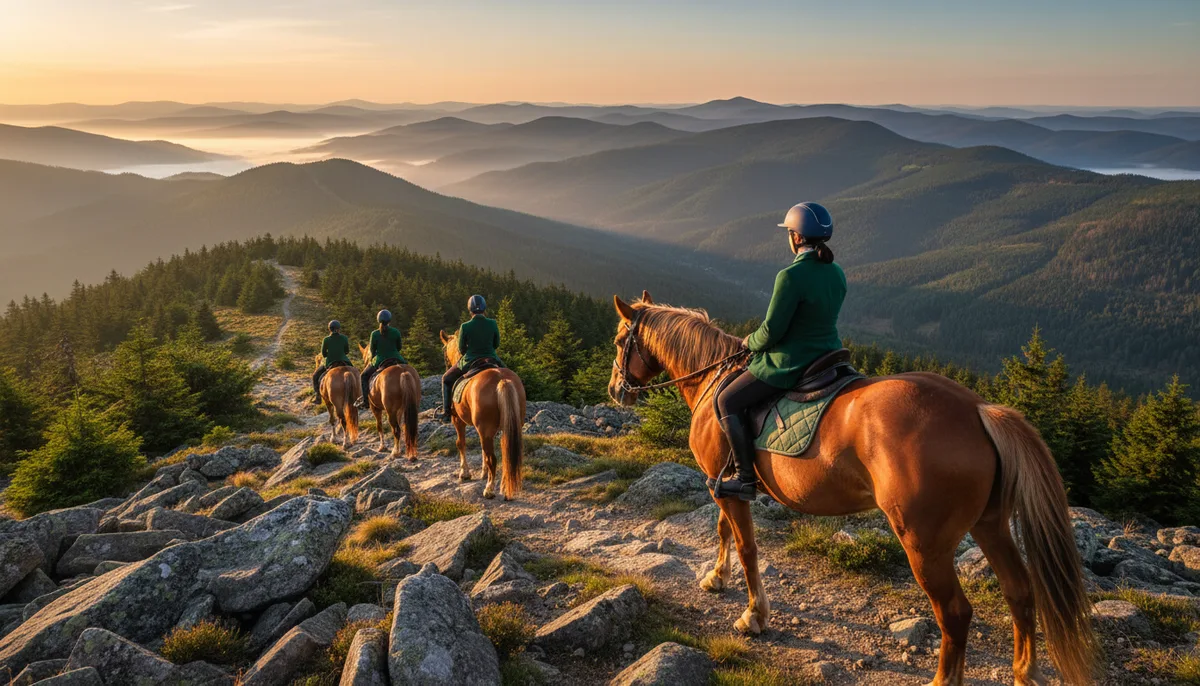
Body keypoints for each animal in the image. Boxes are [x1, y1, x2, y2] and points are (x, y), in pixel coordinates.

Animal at [439, 331, 525, 500]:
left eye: (444, 353)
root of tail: (502, 380)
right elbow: (483, 450)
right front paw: (484, 473)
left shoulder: (458, 421)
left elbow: (461, 443)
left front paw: (464, 473)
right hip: (508, 427)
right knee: (505, 454)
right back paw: (505, 487)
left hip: (485, 428)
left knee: (493, 458)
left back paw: (489, 489)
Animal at [608, 291, 1096, 686]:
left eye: (618, 341)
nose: (616, 390)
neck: (713, 379)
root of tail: (978, 408)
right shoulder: (722, 485)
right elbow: (725, 531)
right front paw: (715, 577)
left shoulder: (725, 484)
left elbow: (746, 545)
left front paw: (753, 615)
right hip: (990, 524)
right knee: (1020, 591)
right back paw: (1024, 673)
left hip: (925, 544)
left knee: (956, 614)